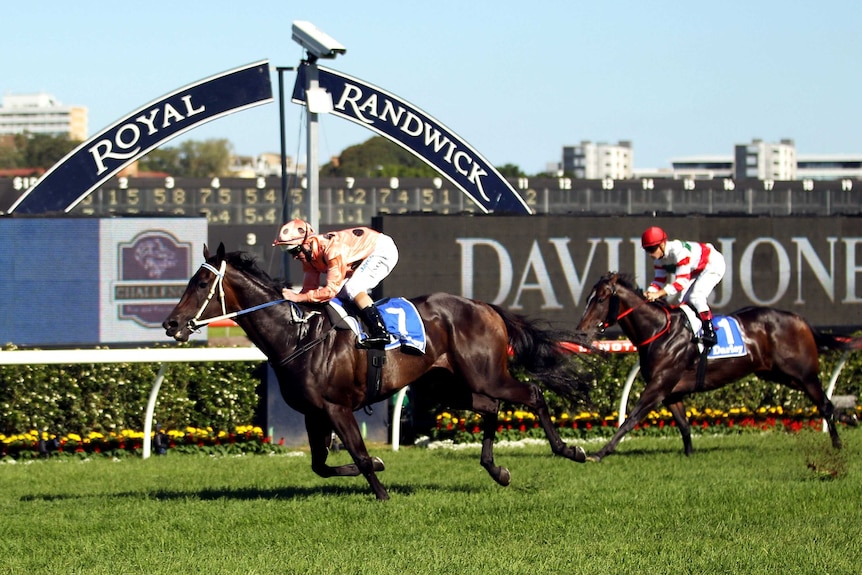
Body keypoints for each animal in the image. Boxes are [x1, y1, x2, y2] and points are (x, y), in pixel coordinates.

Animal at [163, 245, 592, 502]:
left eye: (202, 282)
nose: (171, 324)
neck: (297, 336)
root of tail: (485, 306)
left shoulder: (337, 408)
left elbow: (361, 454)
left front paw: (383, 494)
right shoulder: (314, 413)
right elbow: (321, 465)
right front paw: (380, 467)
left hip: (486, 375)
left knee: (532, 394)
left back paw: (569, 450)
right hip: (444, 386)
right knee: (491, 408)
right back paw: (497, 471)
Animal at [572, 272, 862, 464]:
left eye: (600, 299)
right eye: (588, 298)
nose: (580, 332)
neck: (659, 331)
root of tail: (800, 319)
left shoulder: (659, 386)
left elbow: (630, 419)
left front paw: (599, 453)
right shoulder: (671, 393)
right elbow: (684, 425)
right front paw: (689, 455)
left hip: (801, 373)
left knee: (824, 404)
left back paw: (837, 444)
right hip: (778, 374)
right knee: (825, 403)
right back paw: (849, 419)